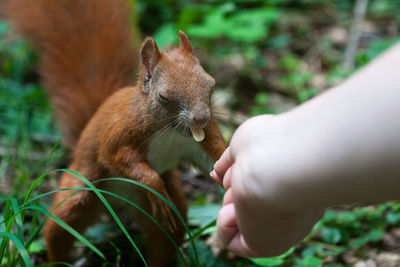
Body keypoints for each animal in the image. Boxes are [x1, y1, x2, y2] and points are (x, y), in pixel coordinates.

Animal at [4, 0, 227, 266]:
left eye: (211, 84)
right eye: (164, 96)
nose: (201, 118)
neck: (169, 133)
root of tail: (117, 208)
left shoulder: (202, 138)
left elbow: (214, 158)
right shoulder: (118, 135)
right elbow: (117, 158)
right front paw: (153, 184)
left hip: (162, 210)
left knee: (166, 236)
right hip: (77, 194)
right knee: (58, 231)